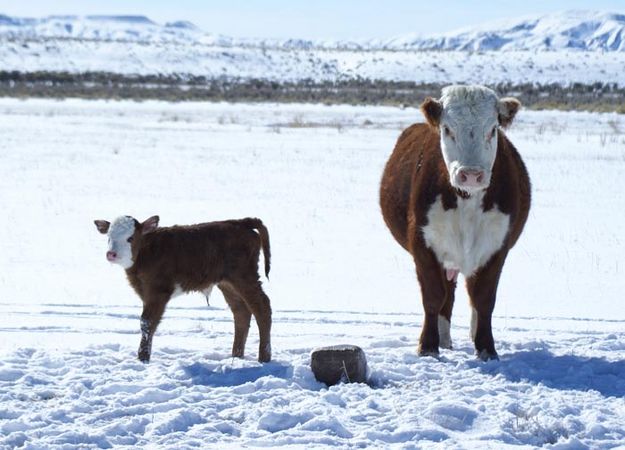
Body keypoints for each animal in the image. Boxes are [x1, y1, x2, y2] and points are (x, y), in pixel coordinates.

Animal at [92, 214, 270, 362]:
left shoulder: (158, 291)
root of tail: (240, 222)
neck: (146, 252)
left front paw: (143, 358)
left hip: (244, 276)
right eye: (108, 237)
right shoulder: (145, 292)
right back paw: (236, 356)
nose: (111, 254)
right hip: (227, 283)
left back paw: (264, 358)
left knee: (262, 308)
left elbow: (147, 322)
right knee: (241, 312)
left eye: (130, 238)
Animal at [378, 83, 528, 358]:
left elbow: (484, 299)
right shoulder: (423, 242)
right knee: (447, 295)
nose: (471, 174)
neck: (466, 199)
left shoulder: (496, 246)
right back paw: (444, 338)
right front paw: (428, 346)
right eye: (448, 129)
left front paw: (486, 349)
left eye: (492, 129)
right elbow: (433, 296)